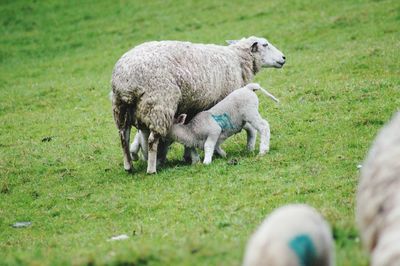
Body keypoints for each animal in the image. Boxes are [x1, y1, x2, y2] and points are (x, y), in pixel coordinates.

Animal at [111, 35, 286, 172]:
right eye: (265, 44)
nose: (284, 58)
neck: (237, 60)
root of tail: (126, 79)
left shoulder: (193, 107)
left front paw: (189, 155)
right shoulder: (224, 100)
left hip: (123, 108)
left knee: (124, 137)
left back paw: (130, 166)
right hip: (160, 105)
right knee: (152, 139)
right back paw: (151, 169)